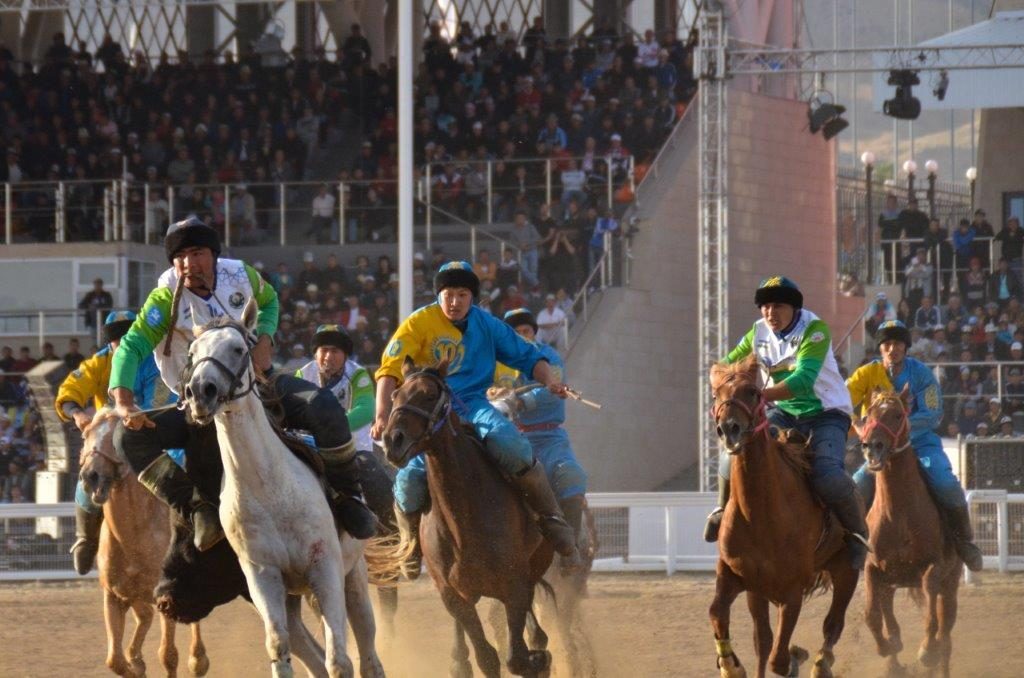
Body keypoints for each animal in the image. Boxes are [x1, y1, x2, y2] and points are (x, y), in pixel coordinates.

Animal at [81, 409, 209, 678]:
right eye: (85, 435)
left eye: (116, 439)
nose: (91, 476)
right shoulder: (113, 597)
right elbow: (115, 660)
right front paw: (135, 665)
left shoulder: (167, 598)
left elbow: (168, 655)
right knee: (144, 617)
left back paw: (198, 660)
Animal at [180, 301, 385, 678]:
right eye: (192, 352)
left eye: (238, 348)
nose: (201, 391)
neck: (268, 488)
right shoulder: (263, 577)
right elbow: (279, 646)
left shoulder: (325, 566)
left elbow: (340, 661)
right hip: (297, 595)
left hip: (352, 577)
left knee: (366, 648)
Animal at [382, 358, 557, 675]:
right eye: (395, 395)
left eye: (429, 394)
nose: (392, 440)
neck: (463, 522)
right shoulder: (454, 596)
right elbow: (487, 657)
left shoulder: (515, 585)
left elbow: (517, 657)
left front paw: (538, 659)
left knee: (535, 633)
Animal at [708, 356, 860, 678]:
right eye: (715, 395)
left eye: (753, 392)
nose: (729, 429)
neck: (759, 515)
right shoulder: (737, 577)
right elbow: (720, 615)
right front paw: (731, 666)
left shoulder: (792, 592)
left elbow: (779, 657)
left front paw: (794, 657)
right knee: (764, 641)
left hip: (846, 571)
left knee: (833, 625)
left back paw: (820, 663)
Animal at [851, 387, 962, 678]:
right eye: (868, 414)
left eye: (897, 414)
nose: (872, 446)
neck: (898, 514)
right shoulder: (873, 569)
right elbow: (872, 616)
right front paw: (888, 647)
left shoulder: (933, 567)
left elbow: (931, 620)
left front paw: (926, 650)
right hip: (890, 584)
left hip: (950, 585)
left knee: (946, 636)